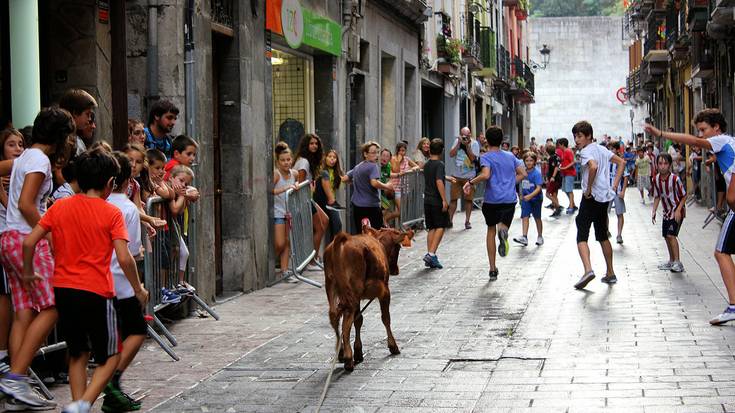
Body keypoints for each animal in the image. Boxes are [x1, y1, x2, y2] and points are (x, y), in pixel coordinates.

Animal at [324, 225, 414, 370]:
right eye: (398, 248)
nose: (396, 270)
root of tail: (343, 240)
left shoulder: (359, 298)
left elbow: (359, 320)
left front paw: (358, 351)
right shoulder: (384, 291)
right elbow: (385, 318)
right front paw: (393, 345)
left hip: (331, 285)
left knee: (334, 316)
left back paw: (341, 353)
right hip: (352, 292)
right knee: (346, 322)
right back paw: (348, 358)